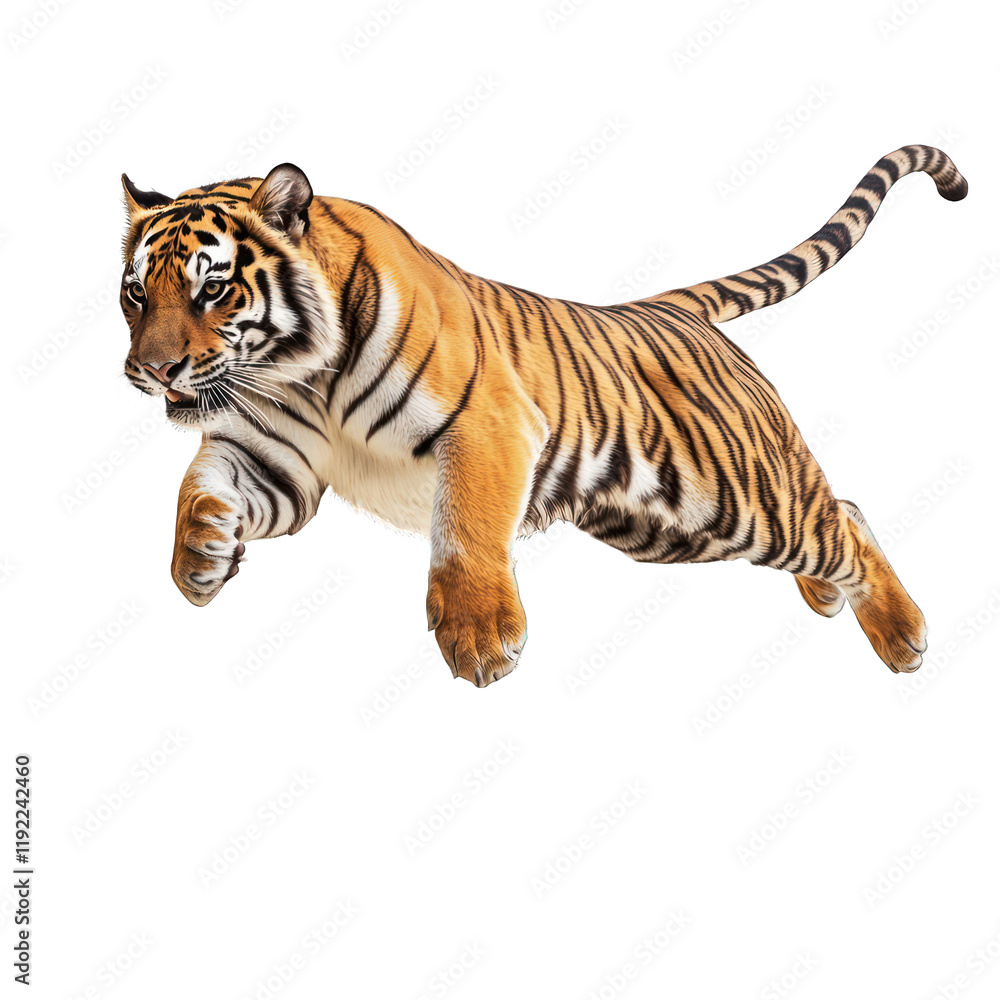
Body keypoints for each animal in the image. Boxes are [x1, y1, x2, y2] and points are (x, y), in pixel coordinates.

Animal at [119, 144, 967, 687]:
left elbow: (466, 524)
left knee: (840, 520)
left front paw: (480, 638)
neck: (297, 377)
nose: (151, 371)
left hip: (738, 495)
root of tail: (669, 305)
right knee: (838, 516)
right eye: (136, 293)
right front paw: (200, 559)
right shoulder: (274, 460)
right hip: (667, 523)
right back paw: (830, 598)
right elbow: (199, 484)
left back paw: (904, 637)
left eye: (212, 289)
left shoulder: (484, 426)